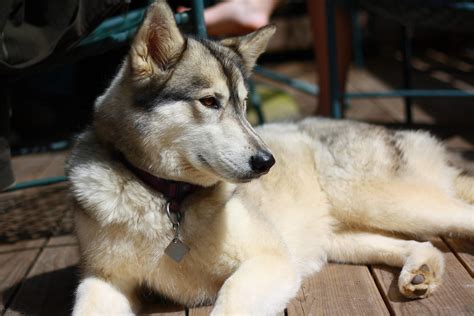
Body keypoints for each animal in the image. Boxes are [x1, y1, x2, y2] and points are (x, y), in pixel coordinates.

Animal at [68, 1, 474, 314]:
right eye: (210, 102)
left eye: (244, 104)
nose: (267, 161)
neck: (166, 197)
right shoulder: (104, 279)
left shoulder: (271, 260)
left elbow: (230, 300)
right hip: (342, 236)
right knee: (419, 243)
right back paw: (421, 269)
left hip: (385, 203)